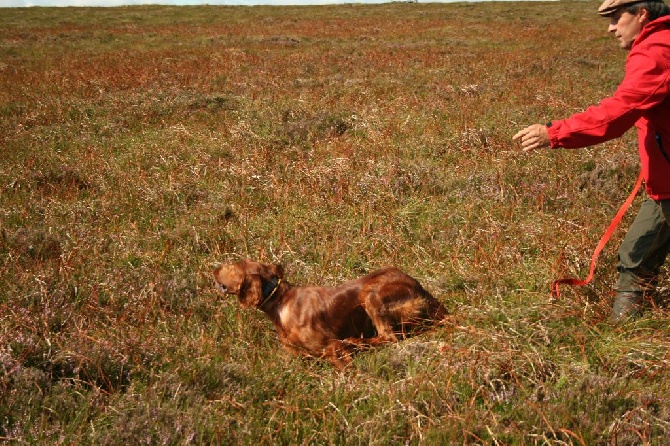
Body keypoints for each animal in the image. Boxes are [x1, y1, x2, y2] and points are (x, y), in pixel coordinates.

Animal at [214, 260, 446, 368]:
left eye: (232, 266)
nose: (215, 268)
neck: (280, 301)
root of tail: (424, 291)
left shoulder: (331, 346)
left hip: (369, 293)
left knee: (389, 337)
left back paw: (355, 342)